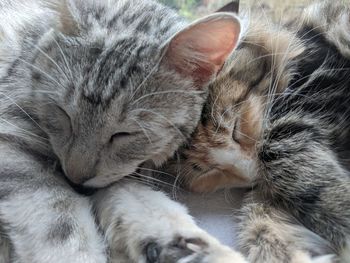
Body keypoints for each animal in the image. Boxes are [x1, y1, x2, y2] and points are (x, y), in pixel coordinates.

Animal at [0, 0, 246, 262]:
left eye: (123, 134)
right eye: (63, 113)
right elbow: (59, 223)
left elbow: (135, 195)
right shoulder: (12, 138)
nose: (74, 179)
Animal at [176, 1, 350, 262]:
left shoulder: (319, 88)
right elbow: (260, 217)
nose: (254, 173)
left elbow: (282, 158)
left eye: (235, 128)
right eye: (206, 170)